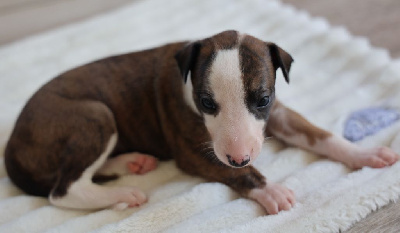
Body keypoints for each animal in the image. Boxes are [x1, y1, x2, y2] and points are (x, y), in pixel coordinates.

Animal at [4, 30, 398, 214]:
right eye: (207, 103)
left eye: (263, 99)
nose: (240, 155)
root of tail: (11, 147)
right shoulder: (194, 153)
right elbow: (238, 173)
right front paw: (271, 190)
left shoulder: (278, 113)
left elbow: (318, 134)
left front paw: (365, 155)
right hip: (95, 115)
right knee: (63, 190)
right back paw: (124, 192)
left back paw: (131, 162)